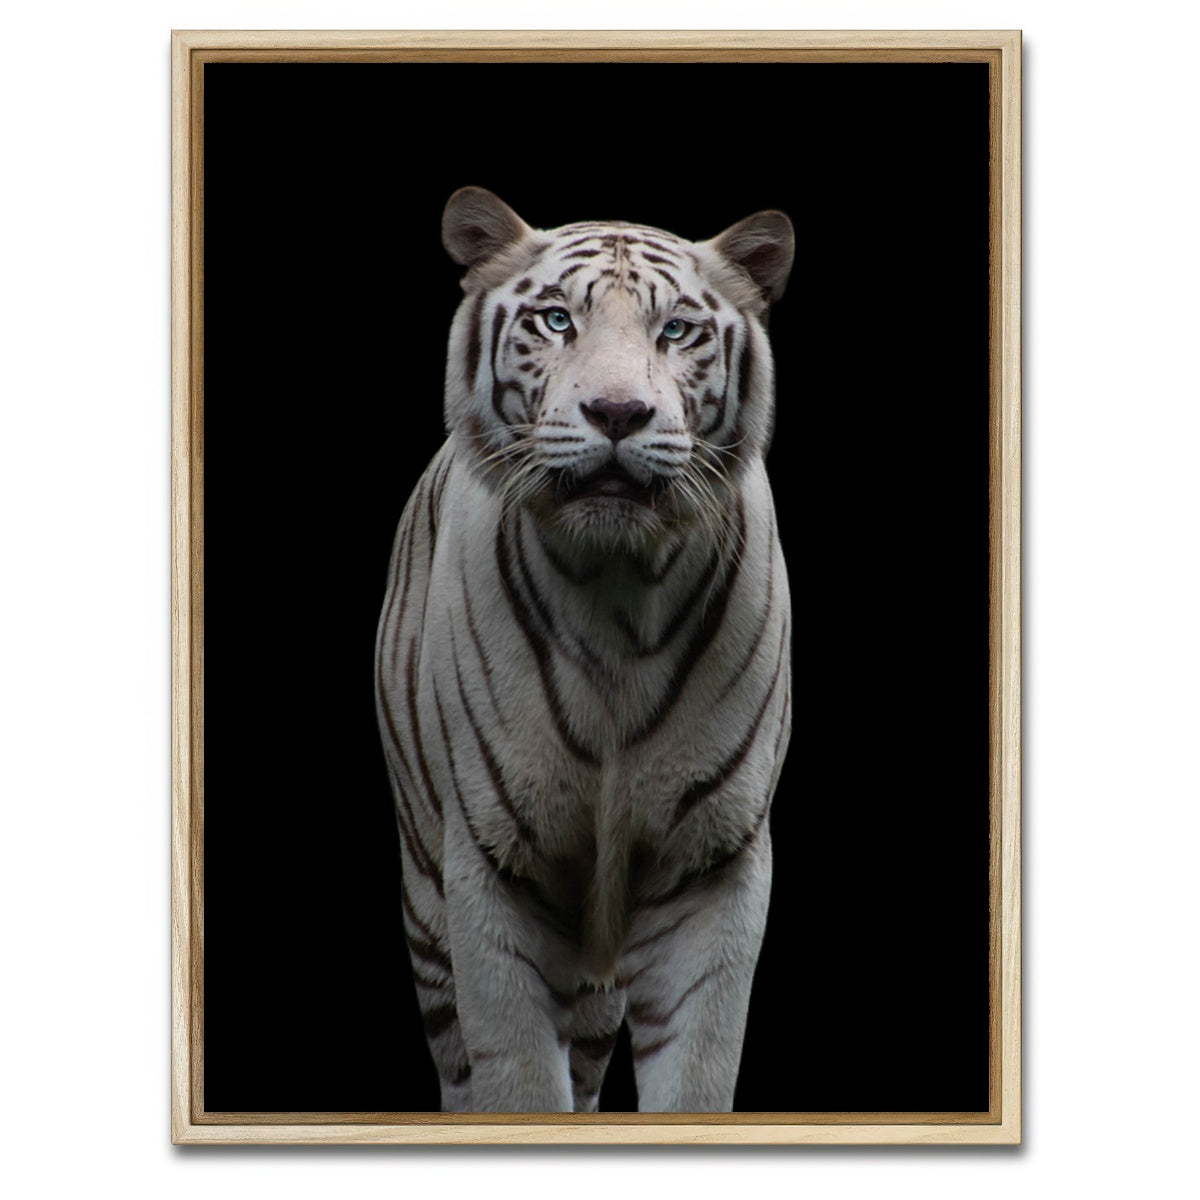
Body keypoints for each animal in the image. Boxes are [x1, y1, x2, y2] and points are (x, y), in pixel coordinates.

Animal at [374, 187, 793, 1114]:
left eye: (677, 329)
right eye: (557, 320)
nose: (617, 413)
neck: (618, 597)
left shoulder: (715, 863)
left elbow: (697, 1075)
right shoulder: (491, 865)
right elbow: (518, 1078)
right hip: (426, 899)